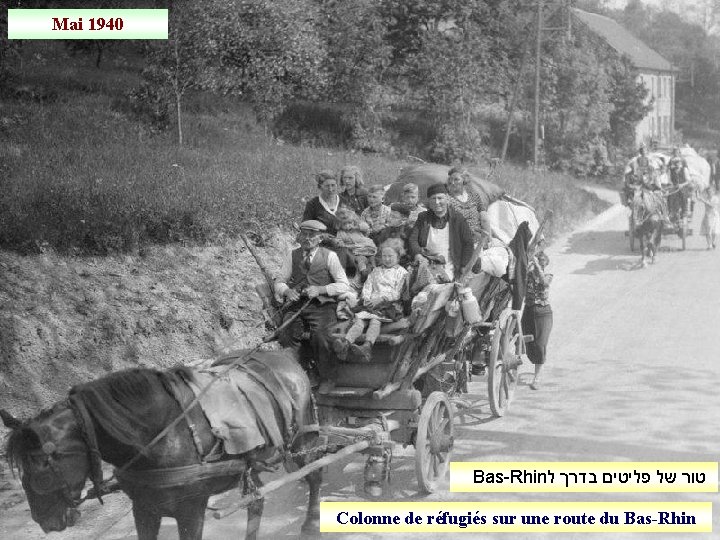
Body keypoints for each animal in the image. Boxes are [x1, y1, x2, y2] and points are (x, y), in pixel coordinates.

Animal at [0, 350, 320, 540]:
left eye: (43, 465)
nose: (44, 520)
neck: (163, 435)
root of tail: (286, 358)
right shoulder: (144, 509)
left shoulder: (191, 510)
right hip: (249, 461)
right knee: (257, 499)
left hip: (302, 439)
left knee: (314, 473)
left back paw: (312, 522)